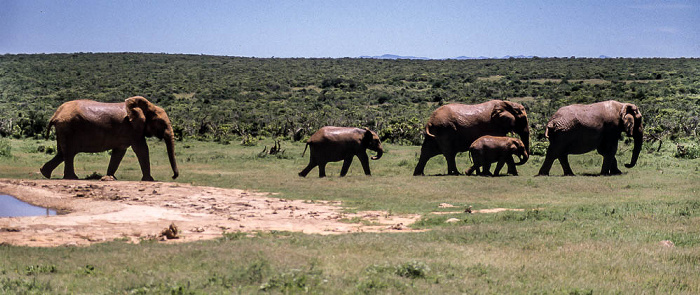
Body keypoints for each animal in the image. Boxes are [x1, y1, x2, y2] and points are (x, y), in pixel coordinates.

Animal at [39, 96, 179, 182]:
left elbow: (119, 152)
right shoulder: (133, 129)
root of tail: (56, 114)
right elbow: (142, 149)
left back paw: (45, 173)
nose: (173, 176)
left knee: (62, 153)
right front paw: (149, 180)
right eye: (161, 123)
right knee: (68, 153)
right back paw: (72, 178)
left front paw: (111, 178)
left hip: (63, 129)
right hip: (67, 127)